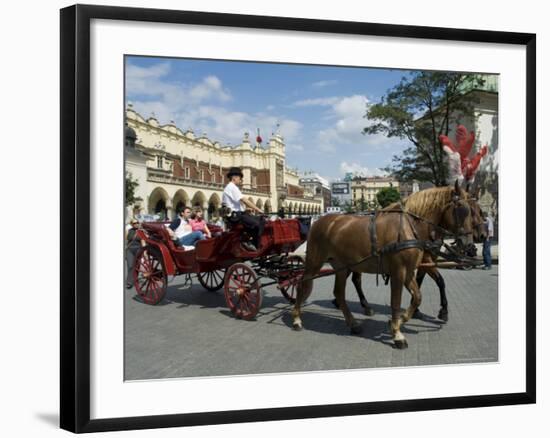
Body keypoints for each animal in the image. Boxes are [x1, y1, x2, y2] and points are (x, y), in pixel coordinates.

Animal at [292, 181, 476, 350]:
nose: (469, 245)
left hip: (342, 266)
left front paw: (400, 321)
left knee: (339, 293)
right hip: (314, 263)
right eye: (462, 209)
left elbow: (417, 297)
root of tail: (320, 221)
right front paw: (397, 333)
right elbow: (396, 301)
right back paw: (296, 319)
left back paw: (353, 323)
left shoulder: (409, 272)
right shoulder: (398, 271)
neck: (408, 226)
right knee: (302, 285)